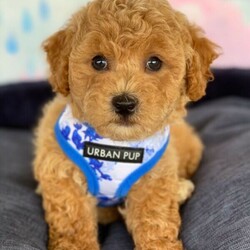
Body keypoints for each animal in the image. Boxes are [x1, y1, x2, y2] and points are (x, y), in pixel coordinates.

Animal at [33, 0, 219, 249]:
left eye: (154, 63)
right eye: (98, 62)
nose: (124, 103)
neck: (117, 144)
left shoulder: (154, 178)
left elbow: (155, 219)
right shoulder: (61, 173)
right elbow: (72, 222)